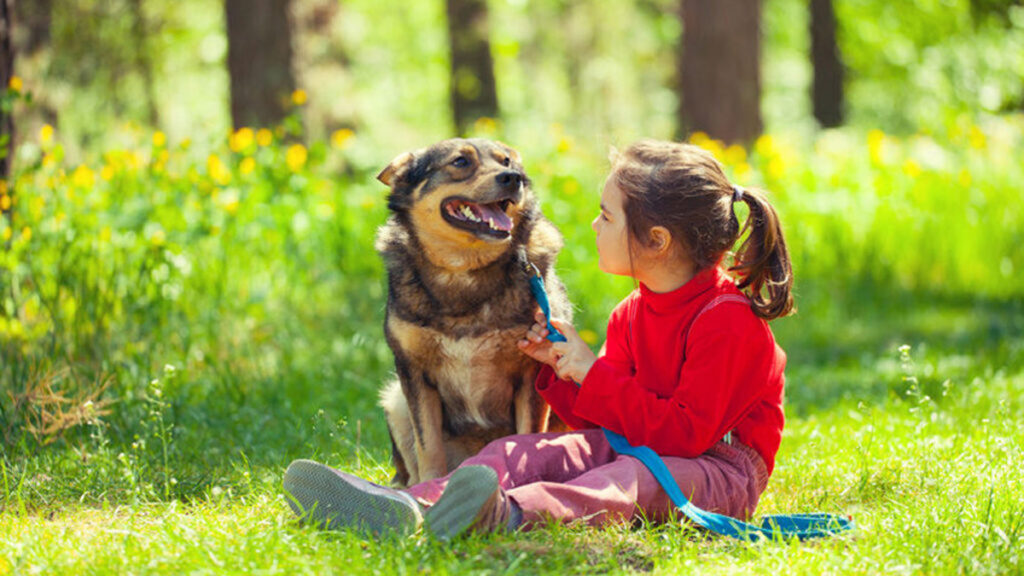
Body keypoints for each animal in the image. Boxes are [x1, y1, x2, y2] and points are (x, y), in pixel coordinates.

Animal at [376, 138, 573, 483]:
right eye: (460, 162)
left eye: (506, 161)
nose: (512, 178)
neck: (464, 270)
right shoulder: (413, 370)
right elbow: (428, 445)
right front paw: (431, 486)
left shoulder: (532, 370)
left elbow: (527, 437)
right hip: (396, 401)